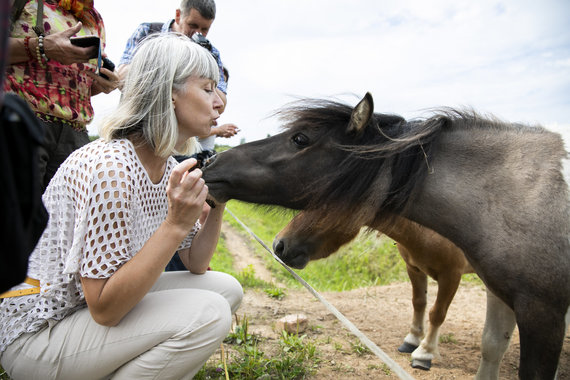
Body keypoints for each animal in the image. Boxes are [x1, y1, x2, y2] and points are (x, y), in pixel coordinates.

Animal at [204, 93, 568, 380]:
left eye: (300, 139)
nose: (212, 162)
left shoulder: (526, 305)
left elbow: (438, 313)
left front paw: (424, 353)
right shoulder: (471, 283)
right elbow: (478, 337)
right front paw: (412, 341)